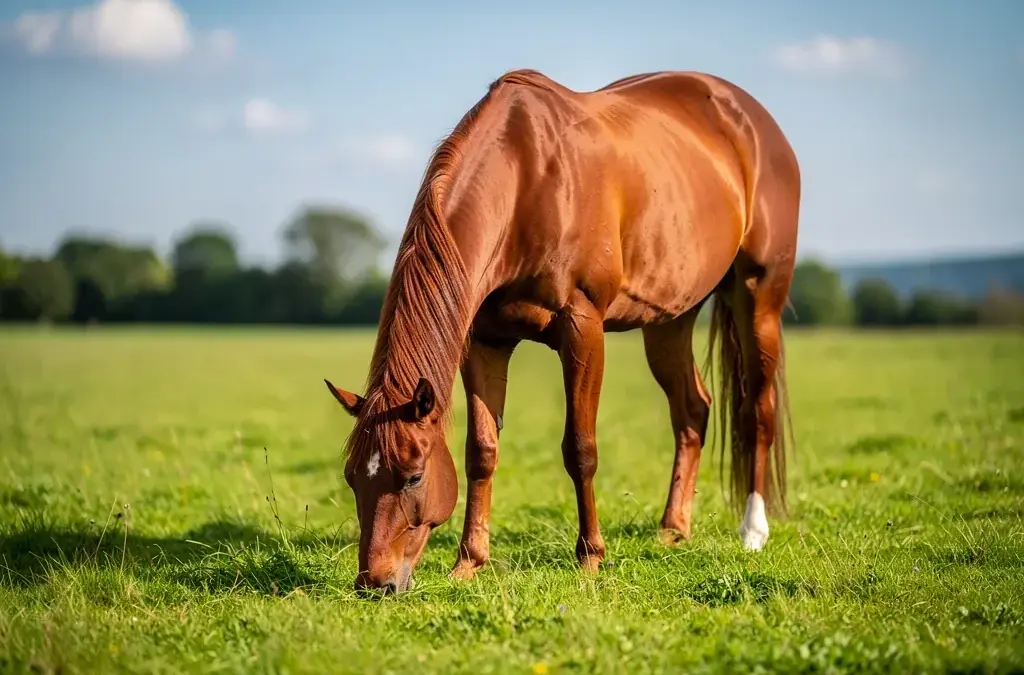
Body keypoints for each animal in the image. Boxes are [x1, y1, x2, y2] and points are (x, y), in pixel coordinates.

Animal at [324, 68, 800, 594]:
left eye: (411, 476)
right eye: (352, 477)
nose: (374, 583)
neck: (526, 180)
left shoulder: (582, 329)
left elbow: (580, 448)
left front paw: (590, 556)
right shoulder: (486, 342)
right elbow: (481, 451)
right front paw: (469, 562)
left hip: (758, 298)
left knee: (757, 411)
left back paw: (753, 531)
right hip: (670, 317)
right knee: (692, 409)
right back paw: (673, 529)